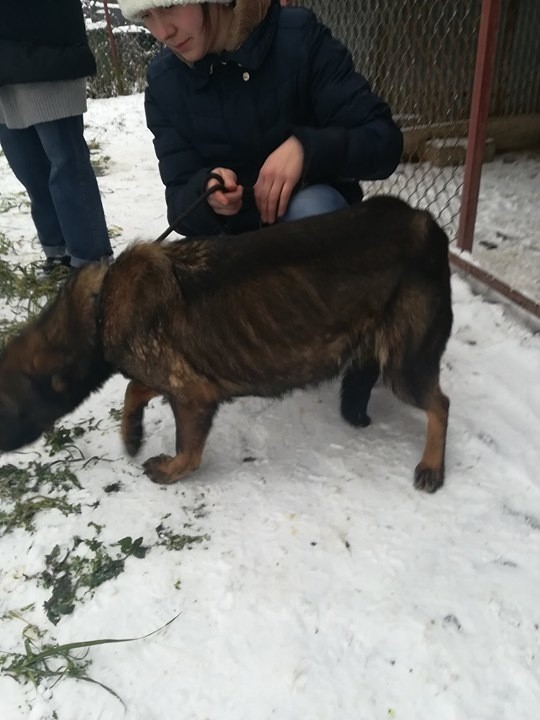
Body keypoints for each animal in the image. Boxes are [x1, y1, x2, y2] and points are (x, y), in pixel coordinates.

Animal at [0, 195, 454, 490]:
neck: (100, 302)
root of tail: (426, 224)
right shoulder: (173, 374)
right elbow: (135, 388)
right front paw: (131, 433)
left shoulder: (194, 394)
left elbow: (188, 452)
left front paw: (168, 470)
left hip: (405, 364)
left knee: (440, 405)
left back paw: (432, 465)